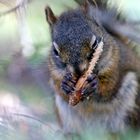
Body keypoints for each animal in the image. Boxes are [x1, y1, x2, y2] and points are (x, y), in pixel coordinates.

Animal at [44, 0, 140, 134]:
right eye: (55, 51)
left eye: (95, 44)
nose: (78, 70)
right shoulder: (55, 73)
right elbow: (60, 88)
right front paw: (66, 84)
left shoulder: (114, 66)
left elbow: (109, 88)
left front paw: (94, 84)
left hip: (130, 106)